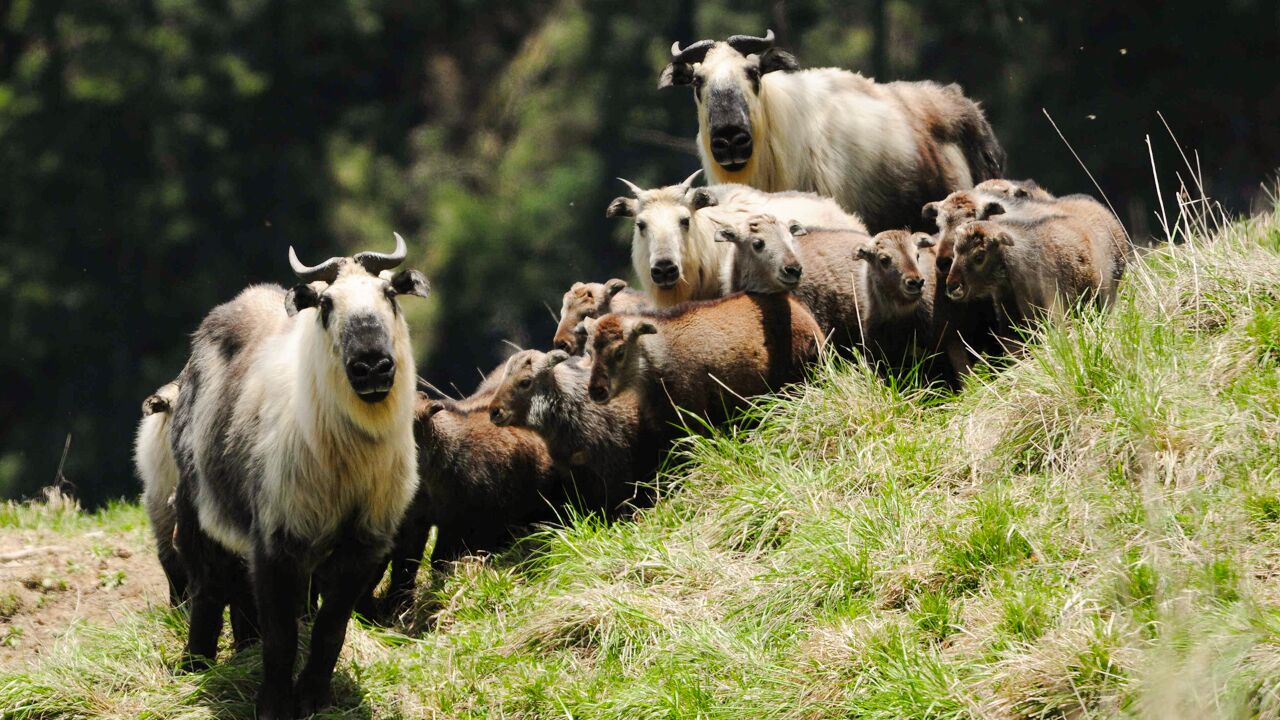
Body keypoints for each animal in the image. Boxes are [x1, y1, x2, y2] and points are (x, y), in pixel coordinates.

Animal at [167, 235, 430, 717]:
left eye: (389, 294)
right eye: (326, 304)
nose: (372, 367)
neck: (346, 455)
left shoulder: (363, 546)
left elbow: (329, 631)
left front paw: (312, 697)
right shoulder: (274, 542)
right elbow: (281, 637)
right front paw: (272, 704)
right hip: (196, 508)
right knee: (209, 587)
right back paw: (195, 666)